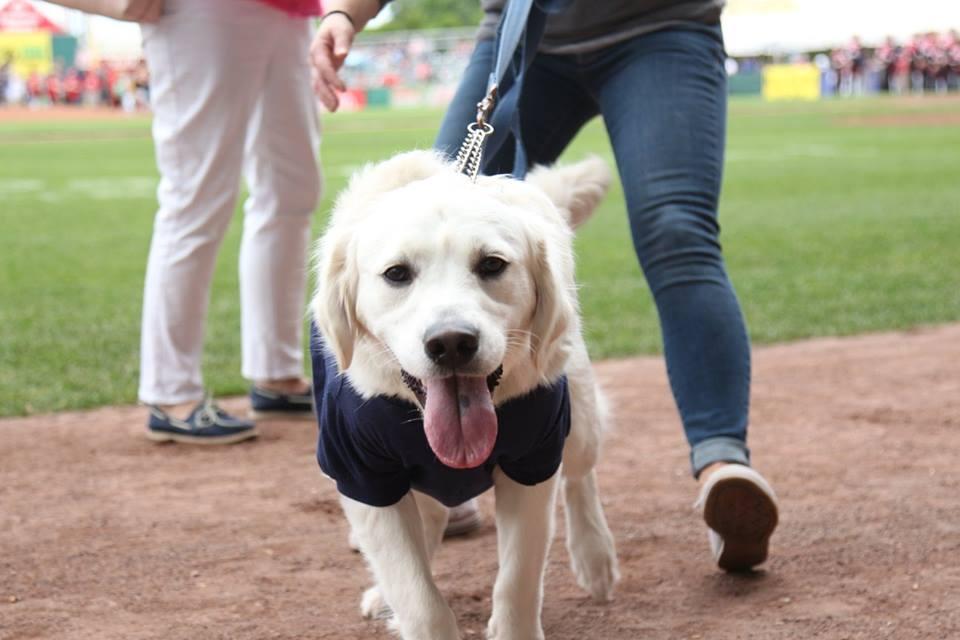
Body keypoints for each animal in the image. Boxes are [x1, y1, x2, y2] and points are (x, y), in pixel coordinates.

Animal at [312, 151, 620, 640]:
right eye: (396, 274)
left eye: (492, 264)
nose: (451, 343)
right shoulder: (362, 475)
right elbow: (419, 599)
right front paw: (404, 605)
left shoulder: (532, 464)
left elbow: (517, 583)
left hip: (579, 417)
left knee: (580, 476)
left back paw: (595, 558)